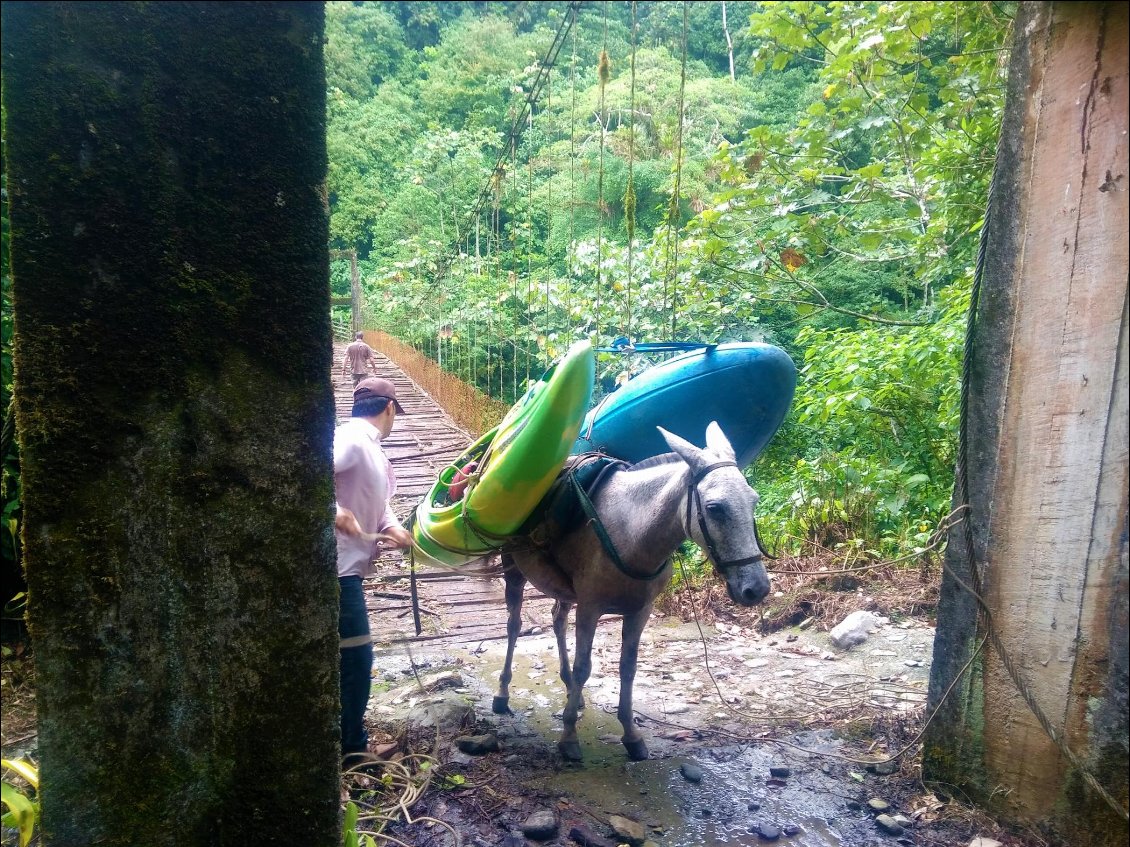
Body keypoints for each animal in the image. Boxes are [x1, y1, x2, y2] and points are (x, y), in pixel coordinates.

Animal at [494, 424, 768, 763]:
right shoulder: (591, 608)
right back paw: (503, 693)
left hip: (564, 589)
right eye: (715, 508)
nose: (757, 588)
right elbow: (584, 667)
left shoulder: (641, 610)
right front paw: (569, 736)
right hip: (513, 570)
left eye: (753, 501)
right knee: (514, 626)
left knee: (558, 620)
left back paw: (571, 691)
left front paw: (631, 735)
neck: (631, 530)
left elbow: (628, 668)